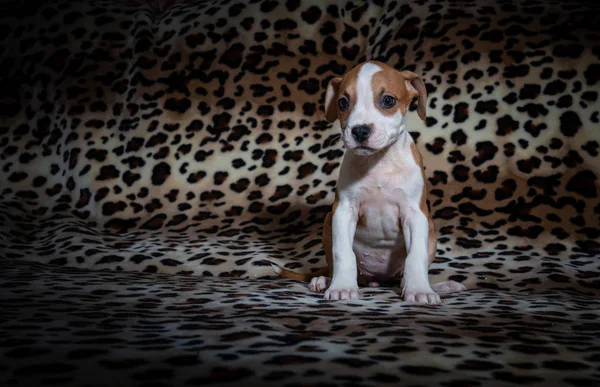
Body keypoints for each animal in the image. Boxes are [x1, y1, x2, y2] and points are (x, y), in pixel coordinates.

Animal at [274, 60, 466, 304]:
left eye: (388, 101)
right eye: (343, 102)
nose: (360, 130)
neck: (379, 163)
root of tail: (378, 280)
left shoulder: (416, 214)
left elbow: (416, 256)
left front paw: (420, 290)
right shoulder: (343, 211)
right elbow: (343, 254)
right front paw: (343, 287)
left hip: (430, 231)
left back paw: (439, 285)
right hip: (328, 222)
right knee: (333, 266)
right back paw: (324, 280)